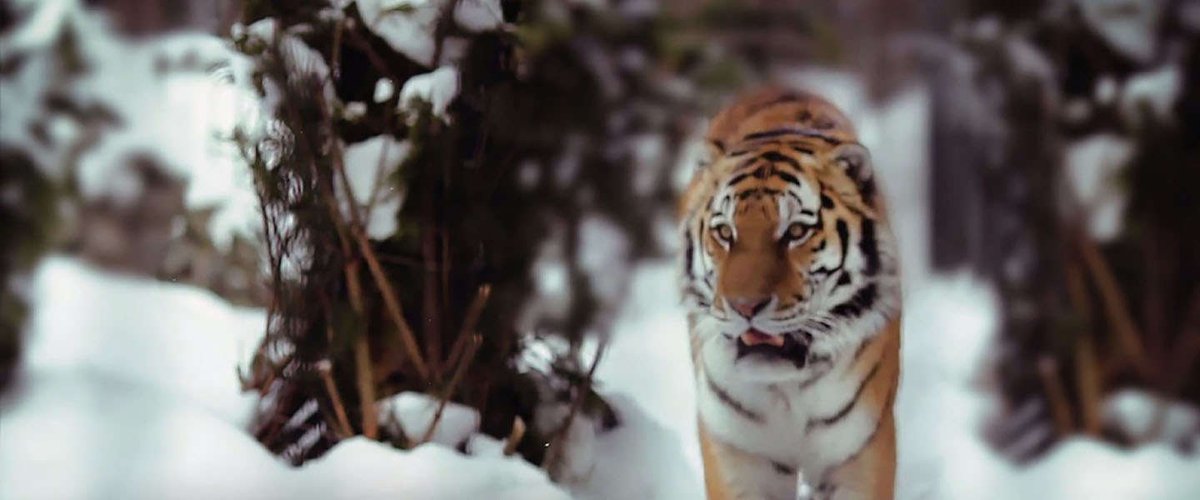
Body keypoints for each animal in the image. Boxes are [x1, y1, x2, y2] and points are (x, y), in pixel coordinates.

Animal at [678, 87, 902, 500]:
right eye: (725, 232)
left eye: (796, 232)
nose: (744, 306)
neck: (787, 389)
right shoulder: (739, 453)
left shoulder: (858, 453)